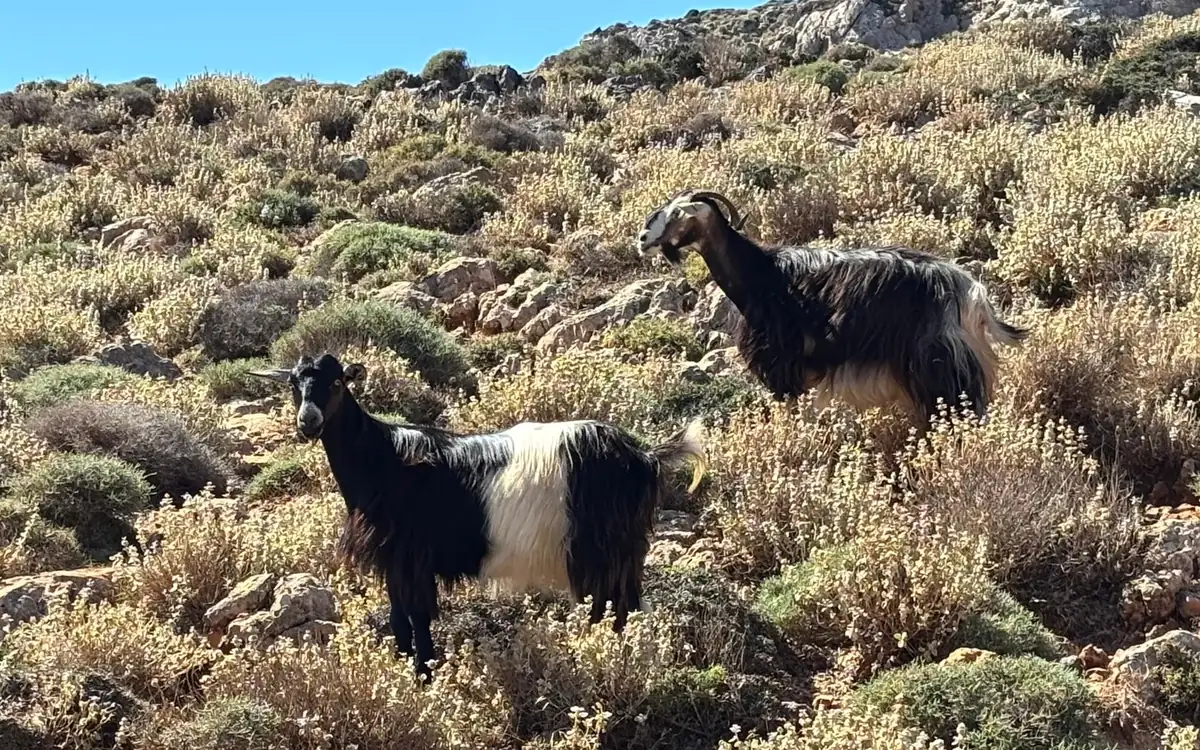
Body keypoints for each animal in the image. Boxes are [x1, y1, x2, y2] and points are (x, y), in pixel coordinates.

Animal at [251, 353, 707, 680]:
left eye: (337, 382)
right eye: (293, 384)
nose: (308, 422)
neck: (383, 460)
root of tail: (645, 456)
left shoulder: (411, 557)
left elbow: (417, 616)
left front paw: (423, 675)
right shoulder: (396, 561)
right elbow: (399, 617)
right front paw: (404, 667)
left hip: (605, 549)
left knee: (617, 606)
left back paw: (611, 658)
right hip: (622, 551)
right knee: (623, 605)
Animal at [636, 188, 1028, 423]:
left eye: (677, 214)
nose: (643, 239)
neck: (761, 275)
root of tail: (971, 293)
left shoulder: (784, 371)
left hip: (940, 369)